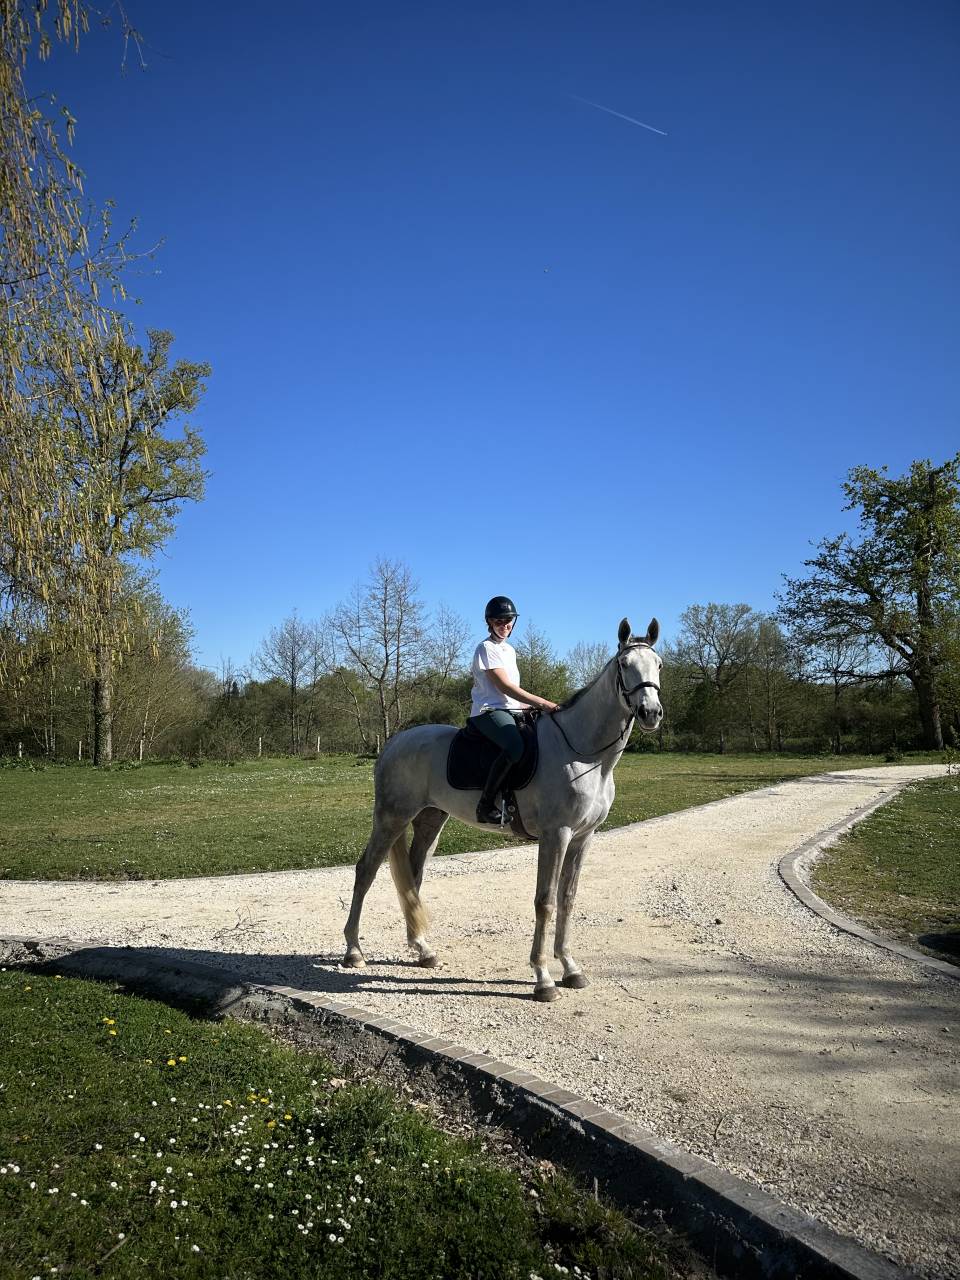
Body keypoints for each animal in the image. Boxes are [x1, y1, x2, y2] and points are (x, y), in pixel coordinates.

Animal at [341, 617, 663, 1002]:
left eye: (659, 665)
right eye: (624, 665)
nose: (650, 713)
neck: (585, 755)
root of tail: (393, 743)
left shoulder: (583, 836)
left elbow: (568, 899)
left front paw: (571, 969)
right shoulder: (556, 835)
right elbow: (546, 901)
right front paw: (543, 978)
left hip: (430, 820)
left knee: (413, 879)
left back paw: (423, 950)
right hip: (391, 818)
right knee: (365, 871)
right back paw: (353, 951)